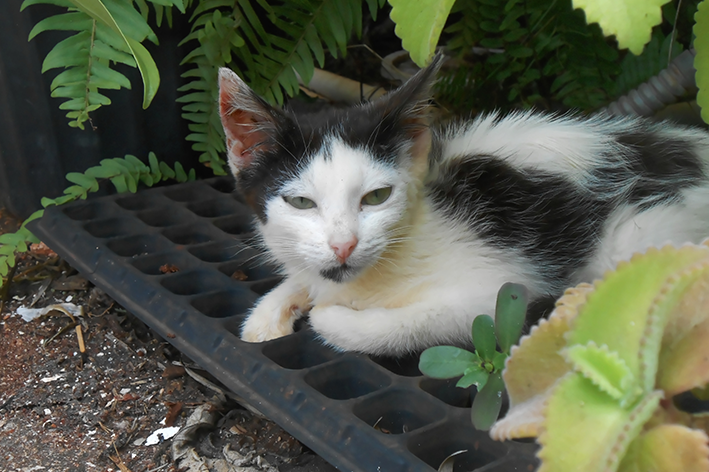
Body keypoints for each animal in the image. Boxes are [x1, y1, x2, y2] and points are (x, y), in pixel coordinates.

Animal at [214, 55, 708, 356]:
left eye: (377, 197)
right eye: (301, 202)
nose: (343, 246)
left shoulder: (501, 289)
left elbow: (408, 324)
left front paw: (327, 318)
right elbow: (303, 277)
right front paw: (269, 315)